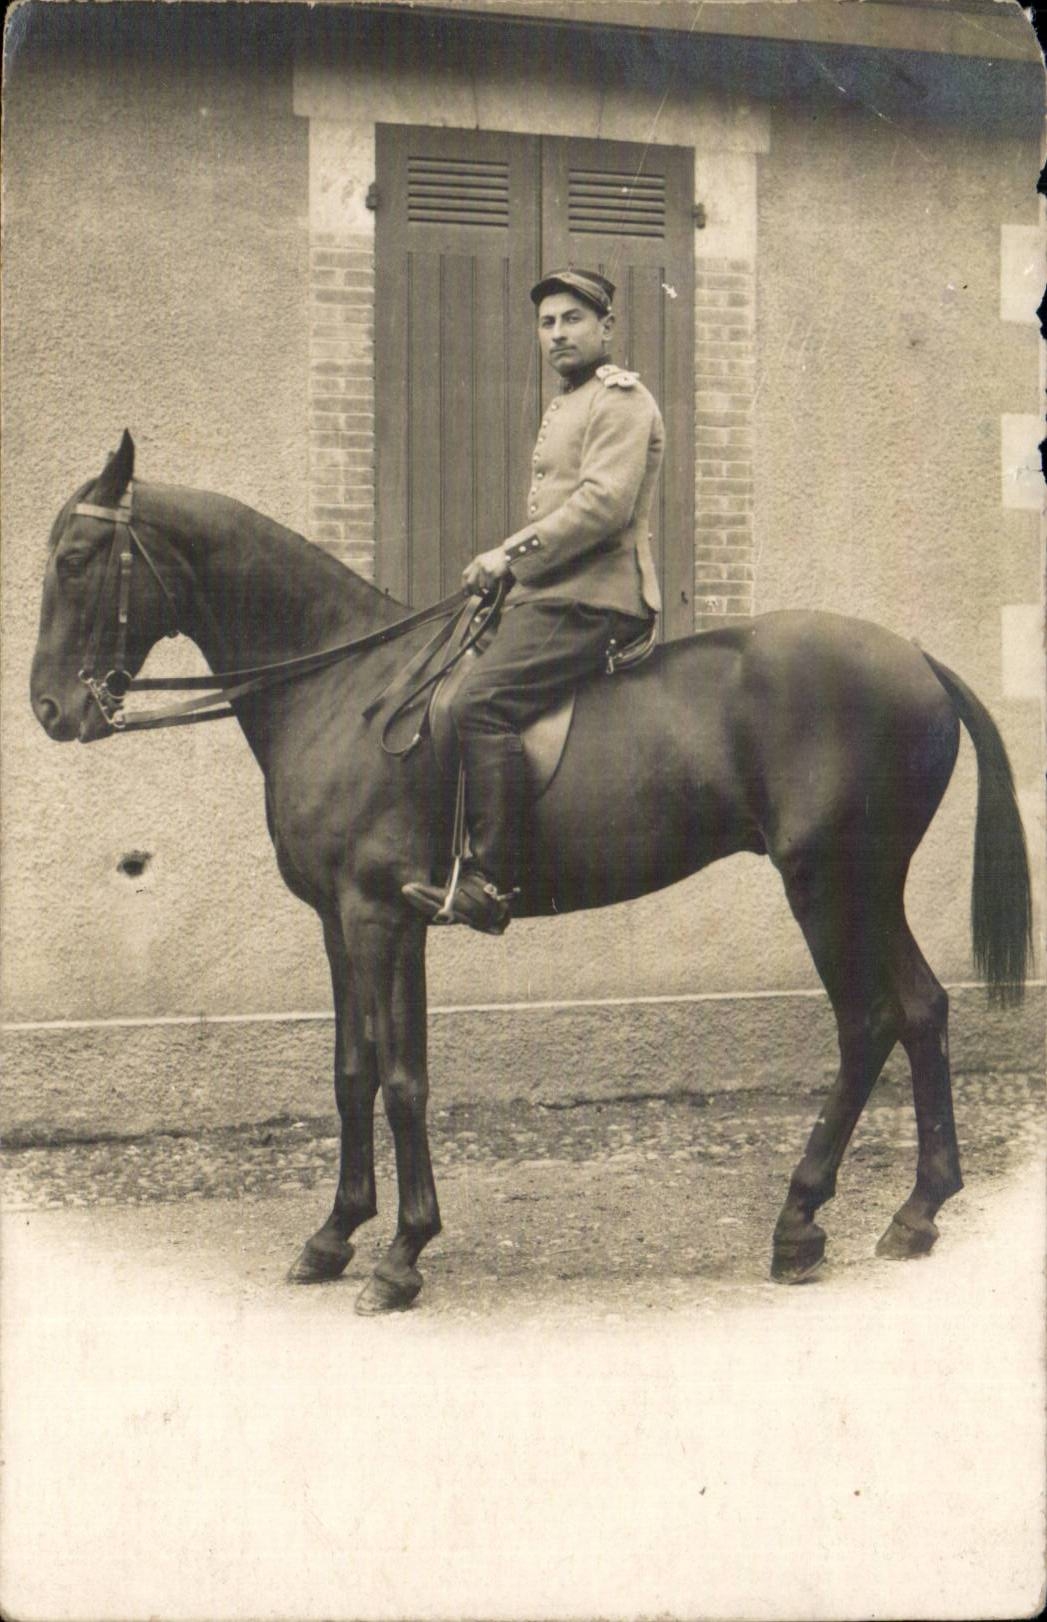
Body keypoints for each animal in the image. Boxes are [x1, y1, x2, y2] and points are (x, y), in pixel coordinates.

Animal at [30, 432, 1032, 1313]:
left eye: (78, 558)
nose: (49, 709)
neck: (346, 693)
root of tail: (915, 659)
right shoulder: (344, 921)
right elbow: (355, 1072)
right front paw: (335, 1235)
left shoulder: (378, 918)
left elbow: (400, 1078)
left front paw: (400, 1256)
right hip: (869, 889)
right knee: (920, 1009)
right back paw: (915, 1212)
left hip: (826, 886)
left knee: (866, 1023)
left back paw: (798, 1222)